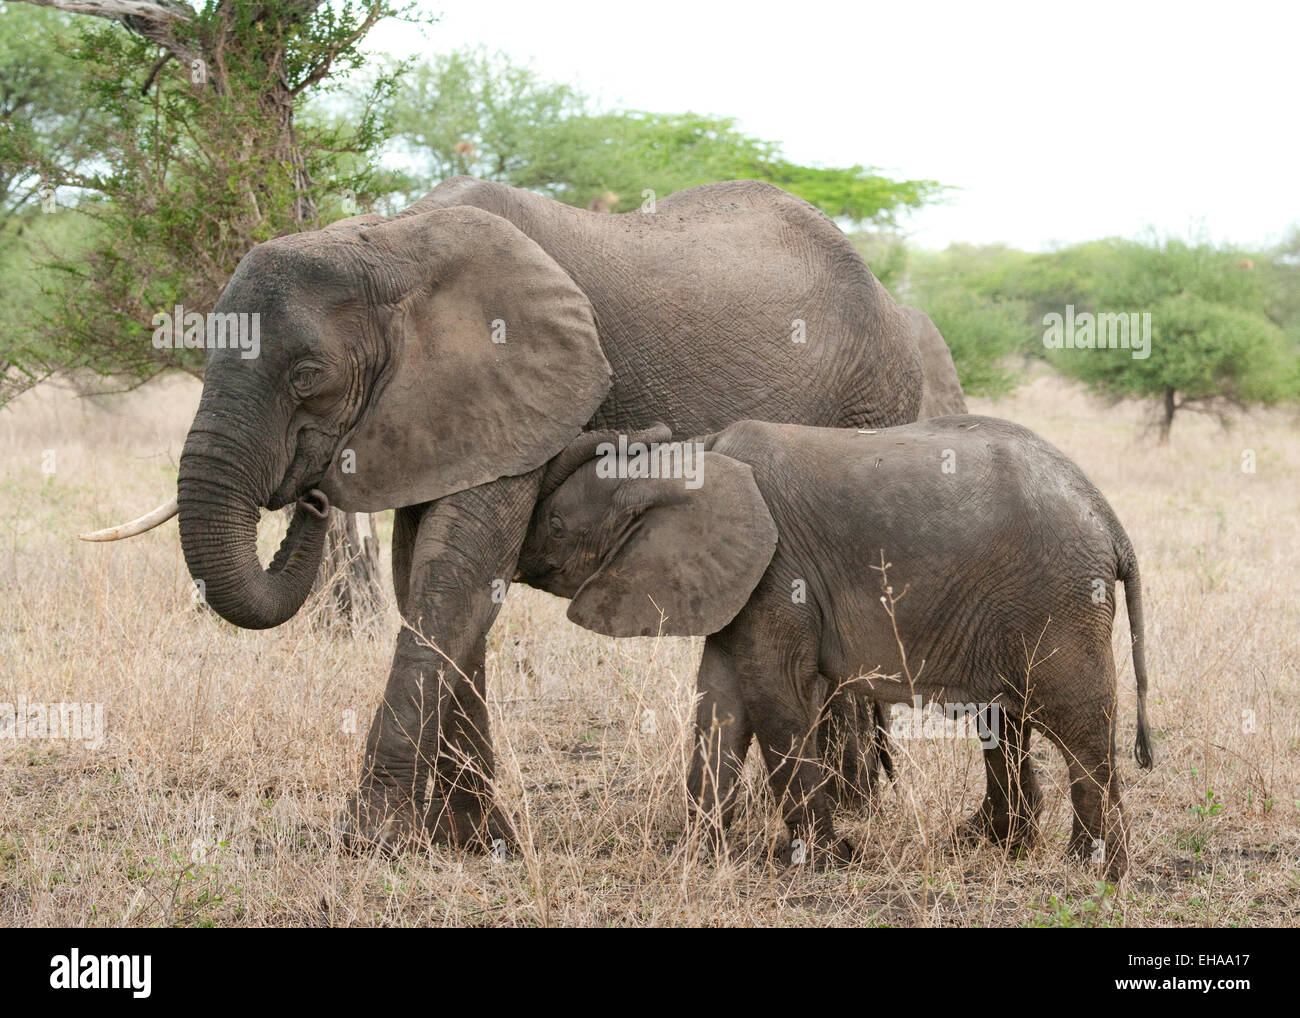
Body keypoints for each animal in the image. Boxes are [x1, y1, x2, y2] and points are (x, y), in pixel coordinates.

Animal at [101, 176, 935, 852]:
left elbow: (457, 575)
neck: (388, 242)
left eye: (309, 376)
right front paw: (478, 842)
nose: (308, 494)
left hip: (876, 403)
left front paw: (375, 841)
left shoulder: (532, 383)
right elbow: (427, 578)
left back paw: (855, 808)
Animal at [512, 418, 1154, 878]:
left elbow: (774, 694)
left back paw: (1095, 871)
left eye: (557, 526)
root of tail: (1109, 520)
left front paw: (823, 860)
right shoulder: (738, 577)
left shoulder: (777, 571)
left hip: (1058, 599)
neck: (696, 459)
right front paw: (698, 852)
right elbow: (720, 700)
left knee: (1078, 723)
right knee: (1005, 718)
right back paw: (990, 845)